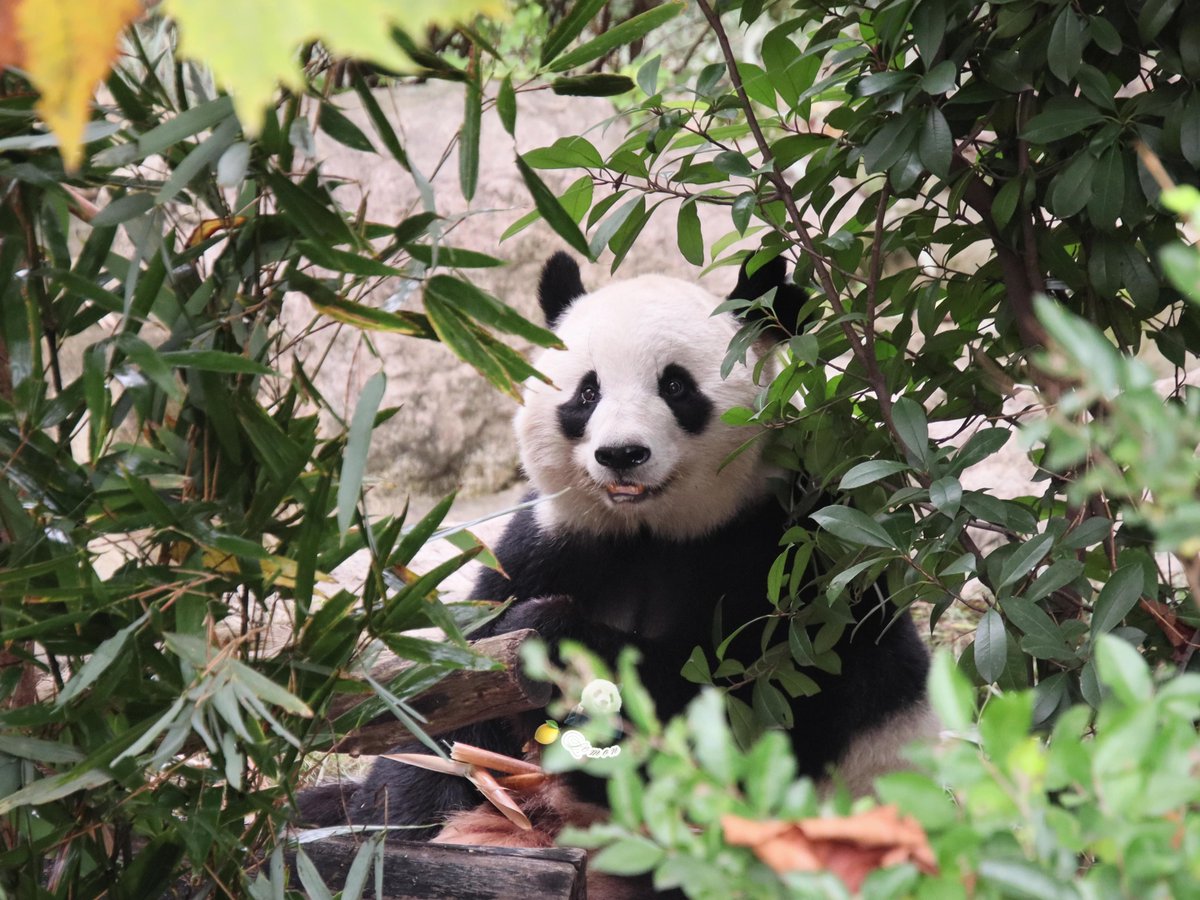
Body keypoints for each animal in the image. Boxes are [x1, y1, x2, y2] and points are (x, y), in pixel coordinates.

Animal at [299, 251, 933, 848]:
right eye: (588, 391)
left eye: (675, 386)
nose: (622, 454)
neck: (647, 529)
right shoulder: (553, 541)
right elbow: (457, 701)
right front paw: (397, 812)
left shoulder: (790, 561)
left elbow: (735, 694)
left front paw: (556, 634)